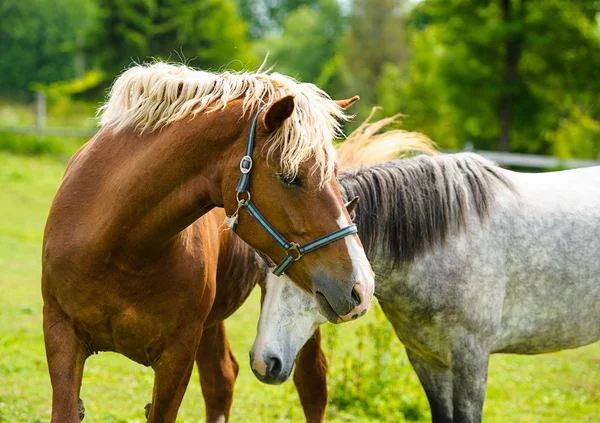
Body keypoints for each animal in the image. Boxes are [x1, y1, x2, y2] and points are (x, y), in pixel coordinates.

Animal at [41, 63, 370, 423]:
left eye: (333, 172)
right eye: (290, 177)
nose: (362, 285)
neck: (121, 250)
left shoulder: (178, 353)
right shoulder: (60, 333)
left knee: (310, 386)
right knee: (221, 378)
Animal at [248, 154, 600, 423]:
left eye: (306, 278)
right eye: (262, 278)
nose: (264, 362)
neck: (448, 239)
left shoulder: (471, 361)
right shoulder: (426, 359)